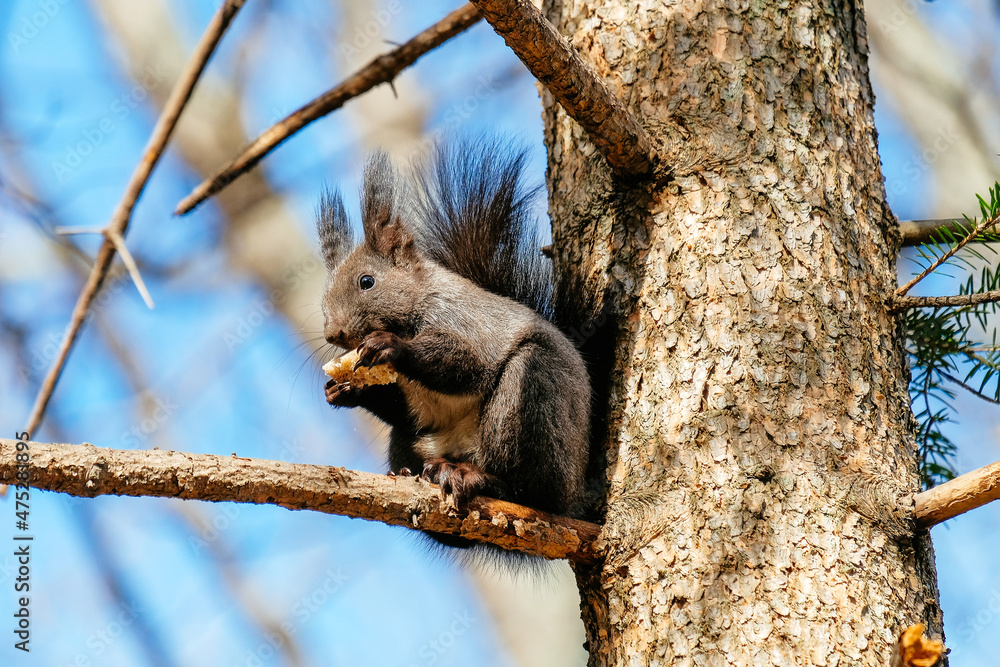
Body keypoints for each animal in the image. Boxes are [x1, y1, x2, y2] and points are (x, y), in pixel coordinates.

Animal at [317, 137, 607, 550]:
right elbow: (403, 410)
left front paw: (393, 347)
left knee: (531, 492)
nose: (334, 335)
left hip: (532, 394)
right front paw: (344, 390)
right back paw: (422, 473)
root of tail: (576, 494)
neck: (417, 306)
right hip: (411, 443)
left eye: (367, 282)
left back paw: (479, 479)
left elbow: (470, 367)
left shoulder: (466, 322)